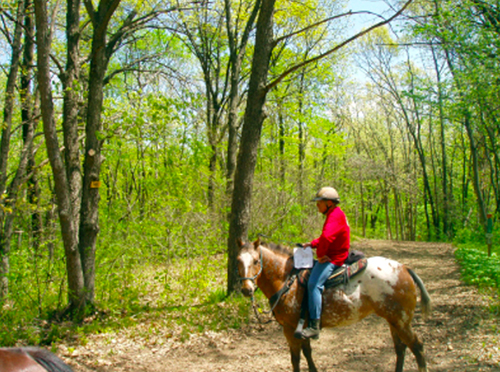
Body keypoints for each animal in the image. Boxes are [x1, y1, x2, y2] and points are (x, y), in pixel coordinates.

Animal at [237, 238, 430, 372]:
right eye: (238, 260)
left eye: (256, 261)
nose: (246, 289)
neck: (287, 280)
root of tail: (404, 268)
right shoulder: (302, 328)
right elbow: (308, 353)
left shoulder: (290, 329)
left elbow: (296, 359)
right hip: (393, 320)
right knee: (401, 348)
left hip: (401, 321)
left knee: (417, 347)